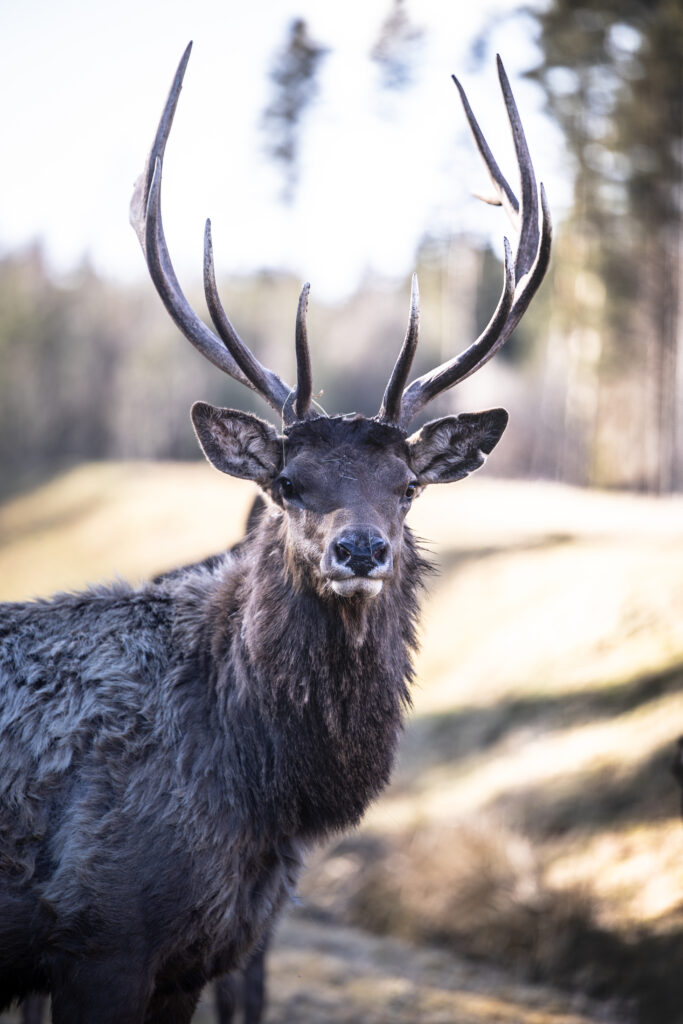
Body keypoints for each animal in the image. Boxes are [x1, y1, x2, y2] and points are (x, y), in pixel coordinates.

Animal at [0, 43, 550, 1024]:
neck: (261, 798)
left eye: (407, 488)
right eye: (289, 484)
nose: (359, 548)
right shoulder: (100, 933)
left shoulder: (201, 953)